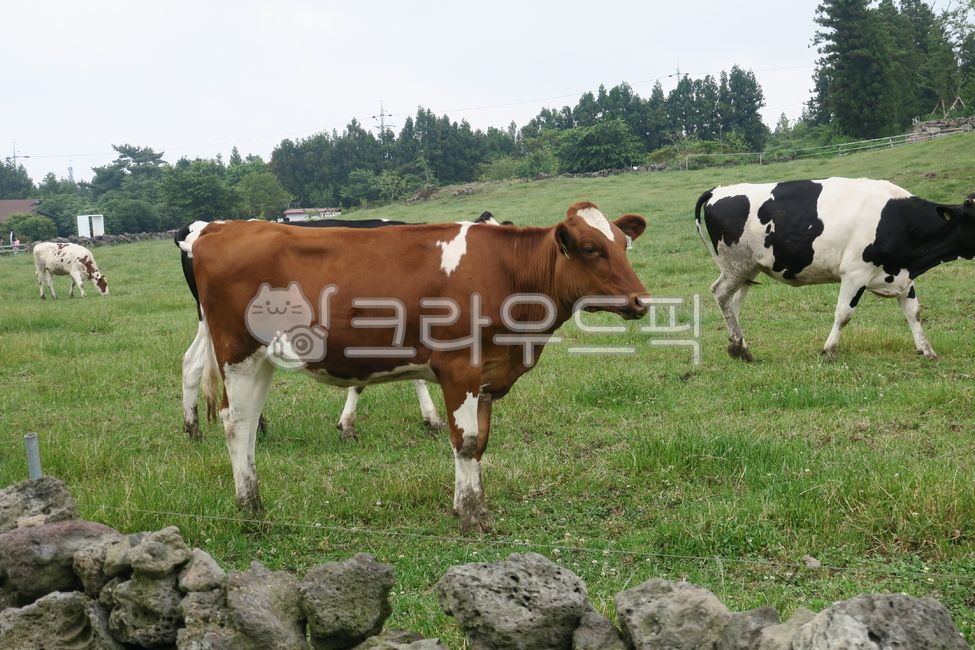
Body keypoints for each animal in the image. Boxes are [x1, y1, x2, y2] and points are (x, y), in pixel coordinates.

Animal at [188, 202, 648, 531]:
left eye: (624, 245)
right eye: (591, 249)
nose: (641, 300)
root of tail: (219, 227)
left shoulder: (488, 373)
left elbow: (480, 442)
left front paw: (470, 507)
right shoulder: (461, 368)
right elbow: (465, 442)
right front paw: (471, 516)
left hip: (262, 358)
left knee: (247, 422)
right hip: (238, 352)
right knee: (236, 423)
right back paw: (250, 509)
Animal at [695, 177, 975, 361]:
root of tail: (718, 190)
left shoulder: (903, 276)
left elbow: (913, 312)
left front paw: (926, 349)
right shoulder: (855, 273)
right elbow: (844, 314)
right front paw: (828, 350)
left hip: (747, 268)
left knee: (733, 304)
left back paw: (739, 347)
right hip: (736, 264)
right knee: (721, 294)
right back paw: (739, 345)